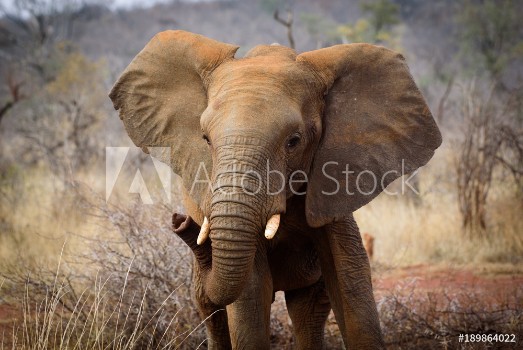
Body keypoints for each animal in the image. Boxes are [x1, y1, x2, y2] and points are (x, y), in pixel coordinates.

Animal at [110, 31, 442, 348]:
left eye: (293, 141)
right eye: (205, 138)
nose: (180, 222)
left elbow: (350, 277)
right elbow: (252, 290)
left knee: (309, 308)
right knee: (210, 307)